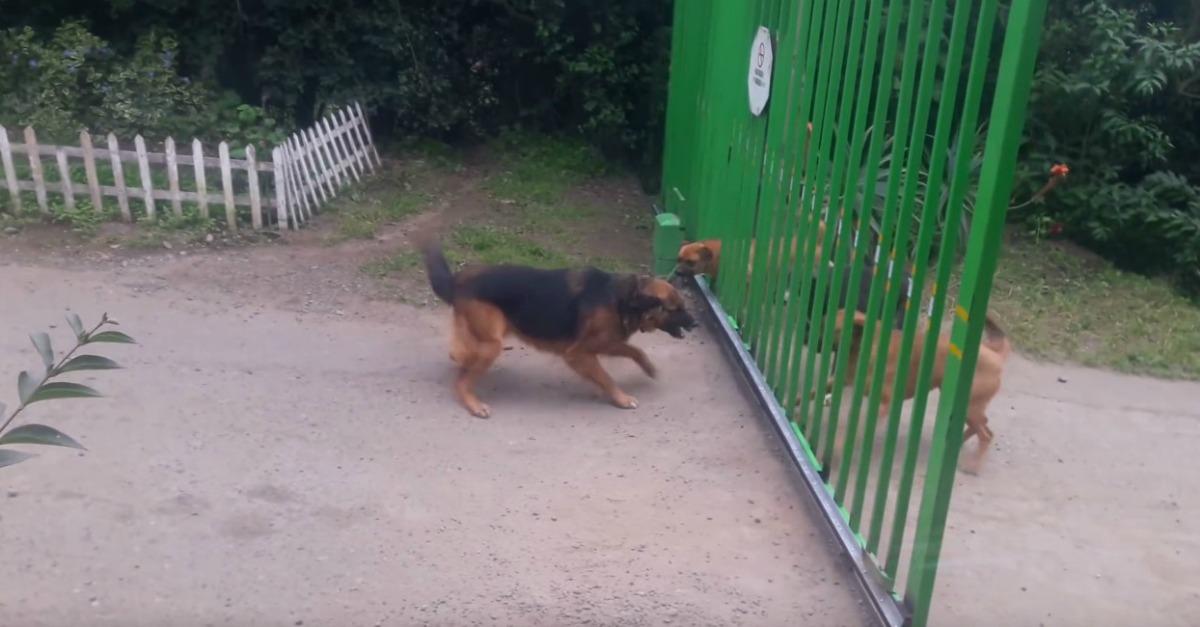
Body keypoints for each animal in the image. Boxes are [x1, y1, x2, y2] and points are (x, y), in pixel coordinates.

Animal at [424, 236, 700, 418]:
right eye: (676, 309)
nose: (696, 323)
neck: (625, 298)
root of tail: (458, 280)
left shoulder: (605, 343)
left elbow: (635, 351)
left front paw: (649, 368)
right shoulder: (578, 354)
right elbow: (606, 377)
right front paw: (621, 399)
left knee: (459, 353)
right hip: (492, 345)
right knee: (461, 381)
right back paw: (474, 404)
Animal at [806, 307, 1012, 473]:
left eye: (831, 328)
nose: (811, 335)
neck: (864, 345)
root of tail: (993, 352)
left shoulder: (882, 405)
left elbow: (855, 428)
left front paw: (836, 450)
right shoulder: (837, 381)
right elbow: (810, 393)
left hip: (969, 406)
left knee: (987, 434)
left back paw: (973, 466)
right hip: (961, 404)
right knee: (982, 425)